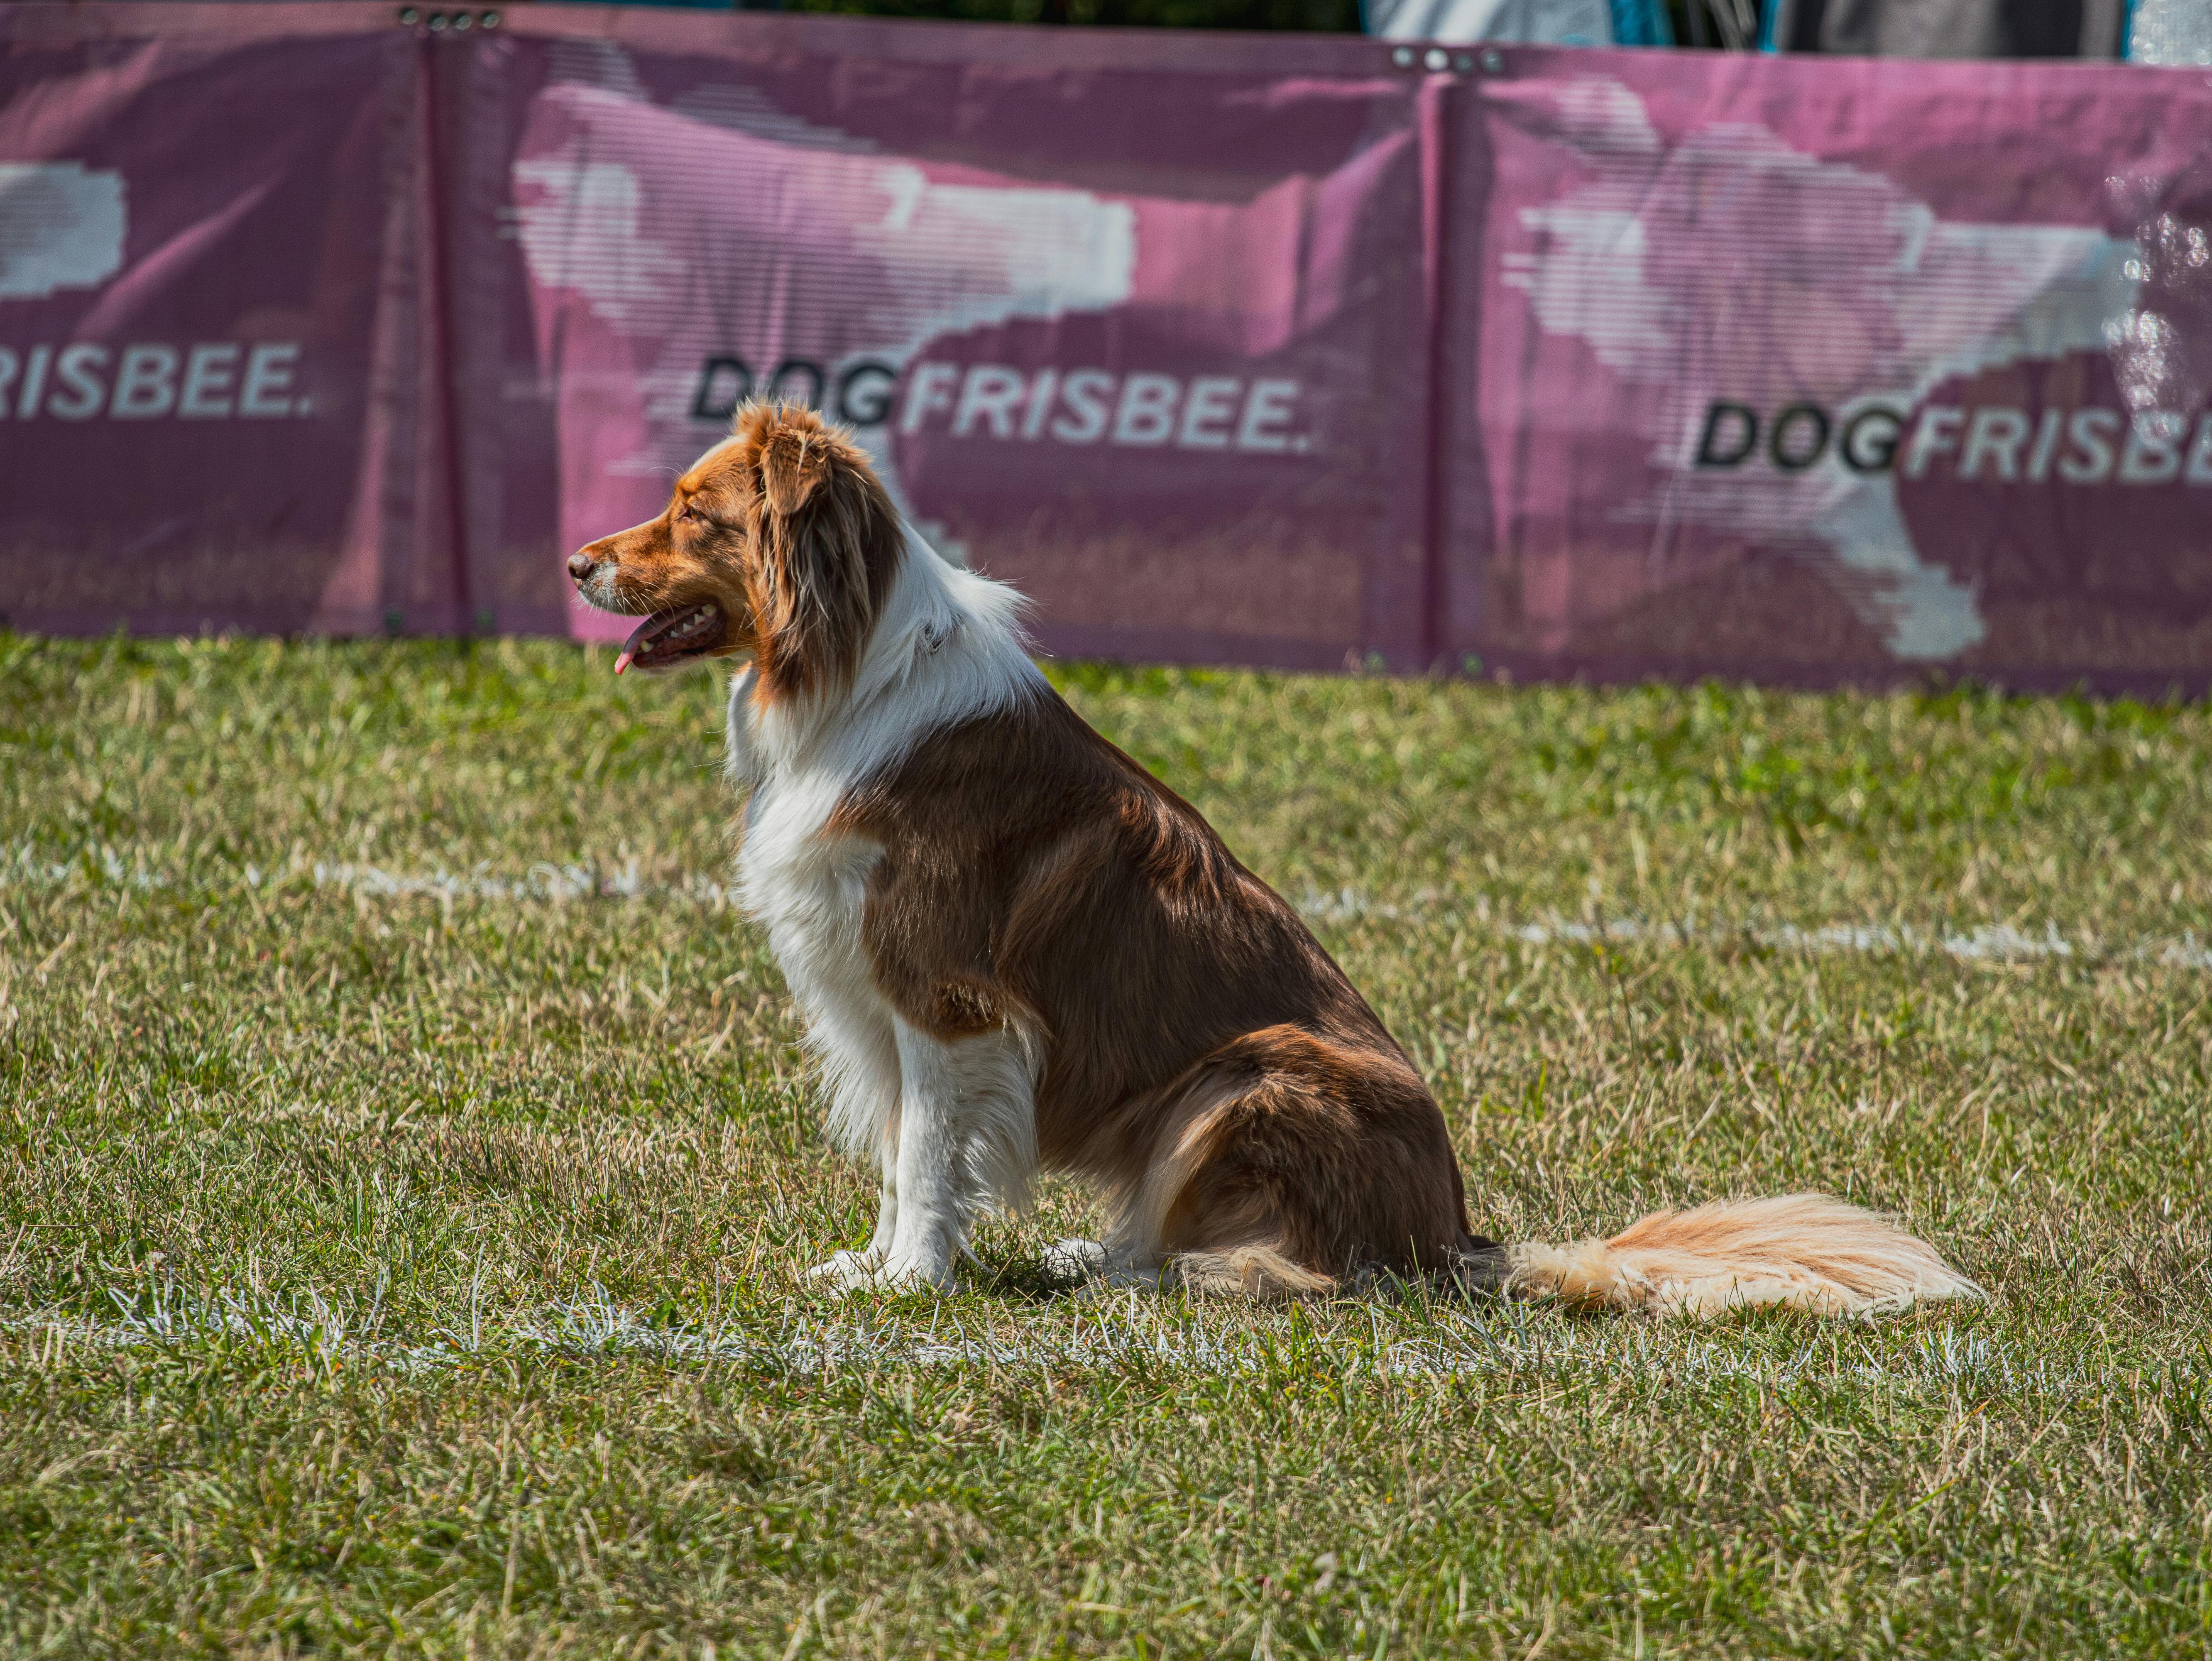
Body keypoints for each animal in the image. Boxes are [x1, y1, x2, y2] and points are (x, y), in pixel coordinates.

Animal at [570, 396, 1991, 1318]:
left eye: (690, 513)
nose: (576, 560)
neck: (844, 668)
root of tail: (1454, 1237)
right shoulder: (879, 1004)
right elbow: (900, 1155)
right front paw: (875, 1266)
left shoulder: (946, 1005)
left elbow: (927, 1158)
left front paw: (913, 1287)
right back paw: (1099, 1262)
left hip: (1248, 1072)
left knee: (1306, 1271)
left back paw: (1187, 1275)